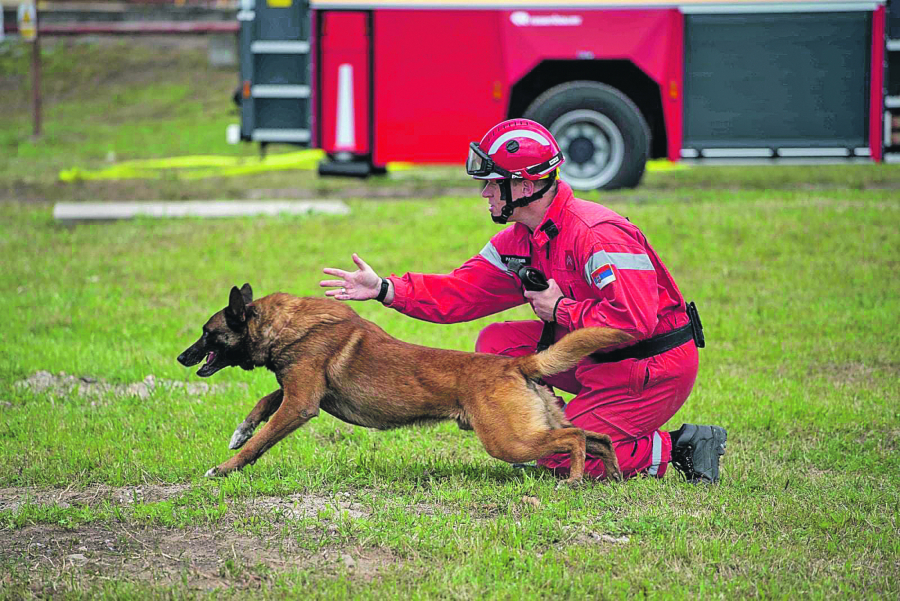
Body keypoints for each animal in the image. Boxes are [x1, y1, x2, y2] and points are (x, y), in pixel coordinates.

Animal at [178, 282, 632, 482]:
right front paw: (240, 431)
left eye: (207, 333)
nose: (182, 357)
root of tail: (517, 365)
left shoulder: (302, 403)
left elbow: (261, 439)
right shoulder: (299, 392)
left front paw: (225, 467)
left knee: (575, 438)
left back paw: (575, 479)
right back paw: (610, 475)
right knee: (596, 436)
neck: (283, 325)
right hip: (533, 426)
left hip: (508, 441)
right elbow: (265, 403)